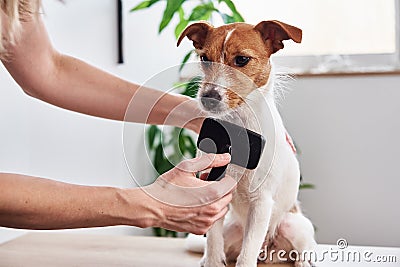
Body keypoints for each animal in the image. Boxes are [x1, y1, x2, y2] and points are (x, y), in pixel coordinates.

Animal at [177, 21, 316, 267]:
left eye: (242, 59)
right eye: (204, 59)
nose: (207, 97)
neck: (237, 126)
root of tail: (269, 252)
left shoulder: (261, 202)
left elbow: (247, 253)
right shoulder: (214, 191)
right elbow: (213, 243)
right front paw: (211, 261)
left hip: (295, 225)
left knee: (304, 246)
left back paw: (304, 260)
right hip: (230, 229)